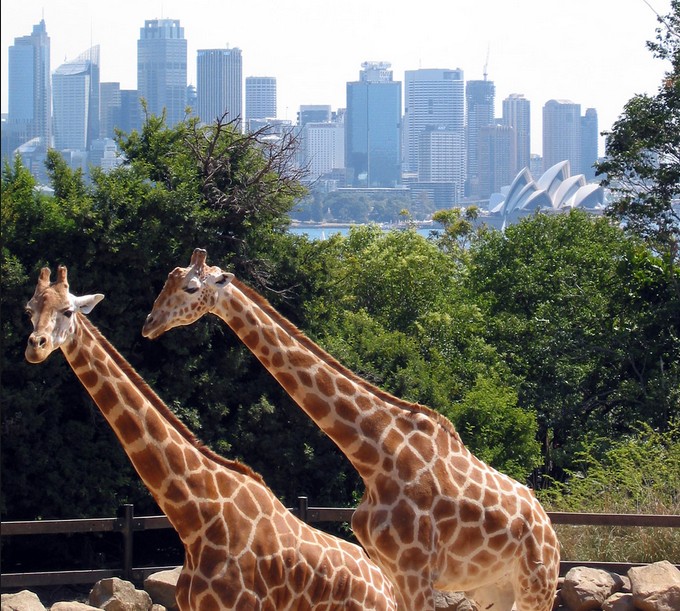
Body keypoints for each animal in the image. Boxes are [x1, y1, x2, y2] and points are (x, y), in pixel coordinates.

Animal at [143, 247, 564, 611]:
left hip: (536, 582)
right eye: (168, 280)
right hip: (492, 589)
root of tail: (548, 526)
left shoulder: (415, 570)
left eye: (190, 287)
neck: (374, 454)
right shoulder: (392, 572)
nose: (150, 324)